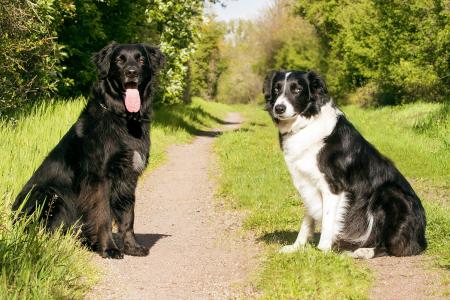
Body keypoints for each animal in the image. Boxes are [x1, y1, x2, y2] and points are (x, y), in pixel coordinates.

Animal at [13, 43, 164, 258]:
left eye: (141, 59)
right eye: (119, 60)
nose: (131, 72)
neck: (123, 119)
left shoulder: (129, 178)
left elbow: (128, 217)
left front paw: (132, 247)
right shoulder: (99, 178)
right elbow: (103, 216)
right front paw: (109, 248)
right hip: (50, 194)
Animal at [262, 70, 428, 258]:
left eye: (297, 89)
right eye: (276, 89)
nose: (279, 108)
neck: (306, 123)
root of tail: (421, 236)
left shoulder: (333, 186)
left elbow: (328, 220)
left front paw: (322, 251)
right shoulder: (308, 183)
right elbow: (307, 219)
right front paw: (296, 246)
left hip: (389, 193)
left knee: (392, 245)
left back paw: (364, 251)